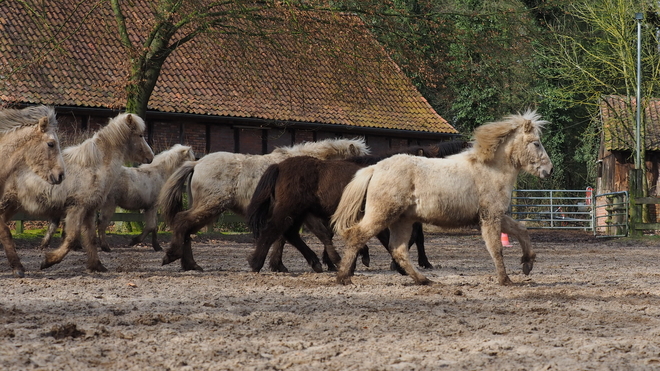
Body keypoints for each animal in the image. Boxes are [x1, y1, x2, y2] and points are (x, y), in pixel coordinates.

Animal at [157, 138, 368, 272]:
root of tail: (196, 164)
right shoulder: (300, 213)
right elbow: (317, 234)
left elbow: (282, 238)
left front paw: (277, 265)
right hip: (210, 206)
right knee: (182, 223)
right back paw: (174, 256)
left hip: (209, 209)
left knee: (187, 230)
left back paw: (190, 264)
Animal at [245, 141, 466, 274]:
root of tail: (279, 166)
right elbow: (391, 239)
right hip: (289, 210)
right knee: (273, 231)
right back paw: (257, 263)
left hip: (298, 213)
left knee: (290, 234)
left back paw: (314, 262)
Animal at [330, 109, 552, 286]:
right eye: (536, 143)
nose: (549, 170)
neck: (490, 170)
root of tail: (375, 168)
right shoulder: (490, 216)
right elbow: (496, 248)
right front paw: (505, 279)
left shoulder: (493, 216)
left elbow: (521, 229)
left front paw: (527, 263)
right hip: (382, 215)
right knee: (357, 235)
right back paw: (343, 277)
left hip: (402, 220)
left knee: (398, 250)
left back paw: (423, 280)